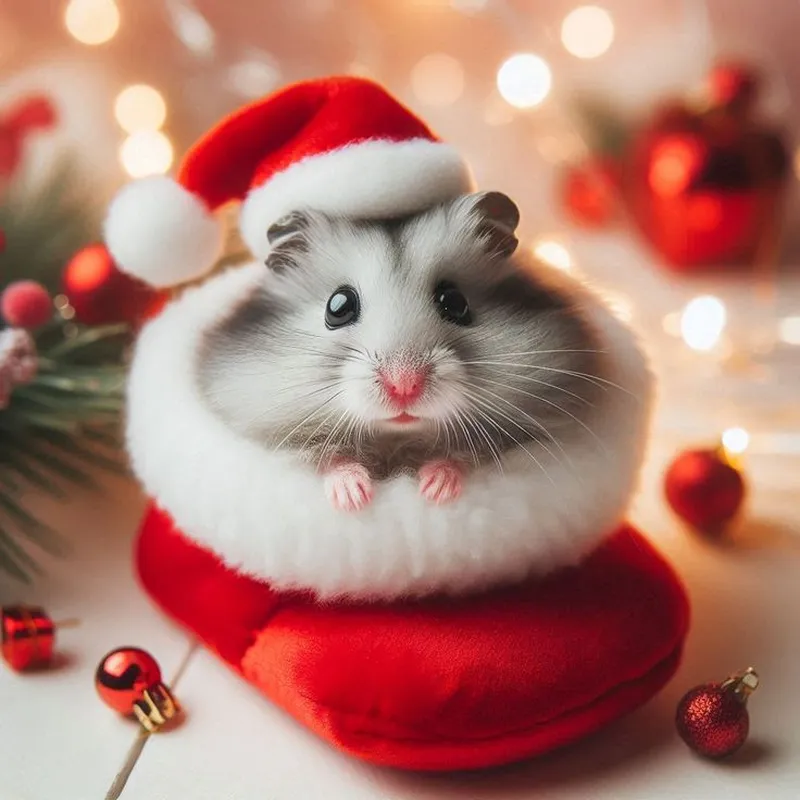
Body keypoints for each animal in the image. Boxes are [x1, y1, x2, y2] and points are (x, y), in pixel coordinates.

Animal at [196, 192, 608, 512]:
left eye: (455, 302)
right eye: (338, 306)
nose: (404, 387)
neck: (395, 439)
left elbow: (463, 457)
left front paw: (435, 490)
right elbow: (330, 459)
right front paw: (355, 498)